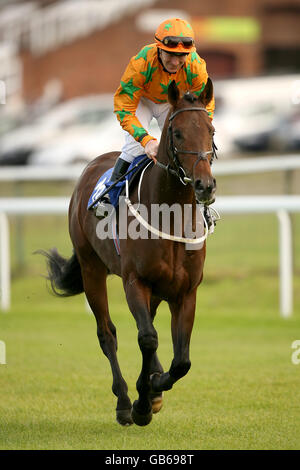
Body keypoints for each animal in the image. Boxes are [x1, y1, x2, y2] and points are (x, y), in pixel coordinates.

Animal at [40, 79, 218, 428]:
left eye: (211, 130)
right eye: (178, 134)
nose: (205, 185)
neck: (170, 215)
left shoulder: (185, 291)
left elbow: (182, 360)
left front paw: (155, 386)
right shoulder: (135, 281)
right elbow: (147, 338)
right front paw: (142, 403)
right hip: (91, 268)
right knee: (108, 333)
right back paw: (124, 401)